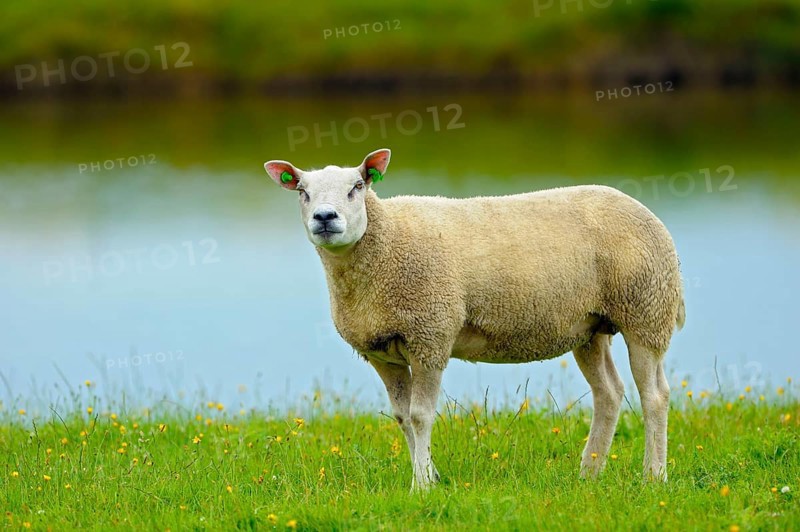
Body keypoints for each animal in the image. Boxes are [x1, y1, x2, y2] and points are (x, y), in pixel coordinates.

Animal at [264, 148, 685, 490]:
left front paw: (421, 486)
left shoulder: (430, 335)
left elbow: (420, 416)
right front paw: (429, 475)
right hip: (590, 327)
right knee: (609, 394)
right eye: (302, 192)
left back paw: (654, 476)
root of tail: (645, 211)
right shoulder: (383, 352)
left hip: (646, 310)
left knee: (655, 396)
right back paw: (589, 474)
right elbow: (402, 418)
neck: (384, 244)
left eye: (357, 186)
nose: (325, 217)